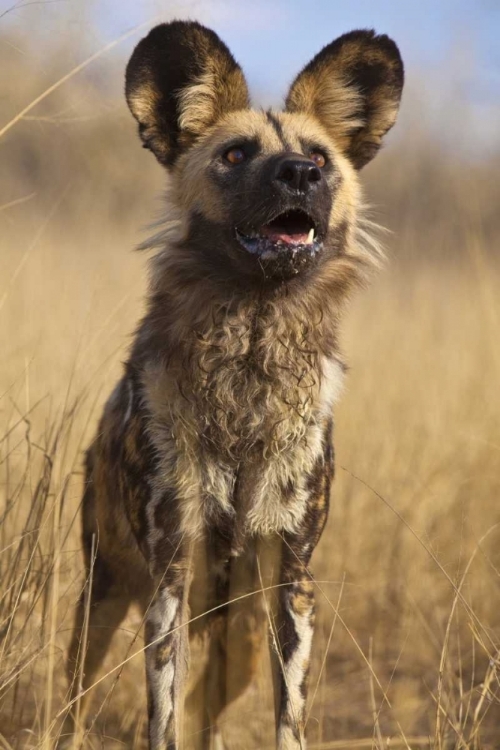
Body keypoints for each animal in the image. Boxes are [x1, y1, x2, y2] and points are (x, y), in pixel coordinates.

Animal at [64, 17, 404, 750]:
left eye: (320, 158)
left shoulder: (292, 580)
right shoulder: (170, 575)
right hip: (104, 599)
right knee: (78, 698)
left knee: (206, 715)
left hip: (241, 638)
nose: (300, 174)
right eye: (235, 154)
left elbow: (287, 719)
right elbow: (161, 719)